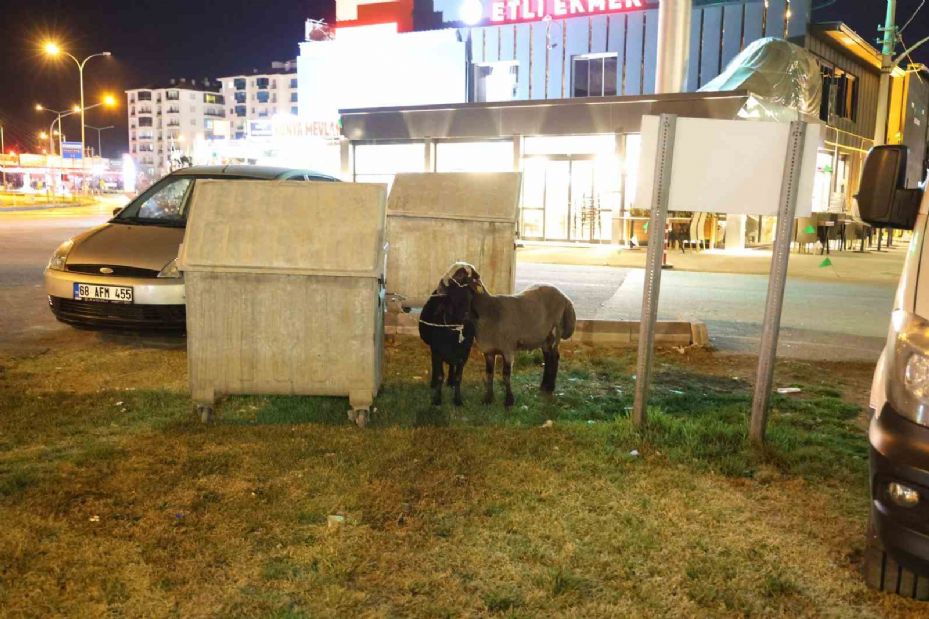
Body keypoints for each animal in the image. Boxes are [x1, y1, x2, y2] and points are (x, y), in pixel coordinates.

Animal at [420, 266, 478, 406]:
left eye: (470, 296)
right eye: (452, 297)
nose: (466, 317)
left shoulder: (464, 354)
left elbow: (458, 377)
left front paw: (457, 399)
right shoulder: (437, 351)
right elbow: (440, 375)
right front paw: (437, 399)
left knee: (452, 365)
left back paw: (450, 381)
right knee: (434, 365)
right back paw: (433, 382)